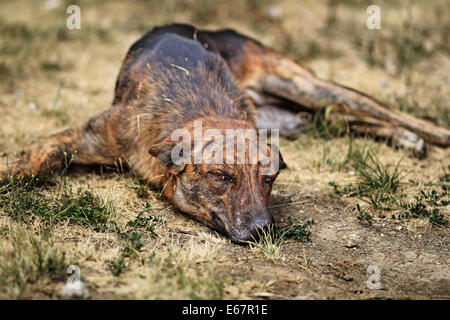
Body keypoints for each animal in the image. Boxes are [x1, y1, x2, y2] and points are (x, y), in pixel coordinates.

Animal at [0, 23, 450, 242]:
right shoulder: (93, 133)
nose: (263, 231)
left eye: (269, 179)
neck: (201, 105)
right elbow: (39, 156)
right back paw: (410, 139)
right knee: (344, 119)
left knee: (380, 109)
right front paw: (11, 176)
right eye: (220, 176)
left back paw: (430, 133)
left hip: (303, 85)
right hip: (297, 115)